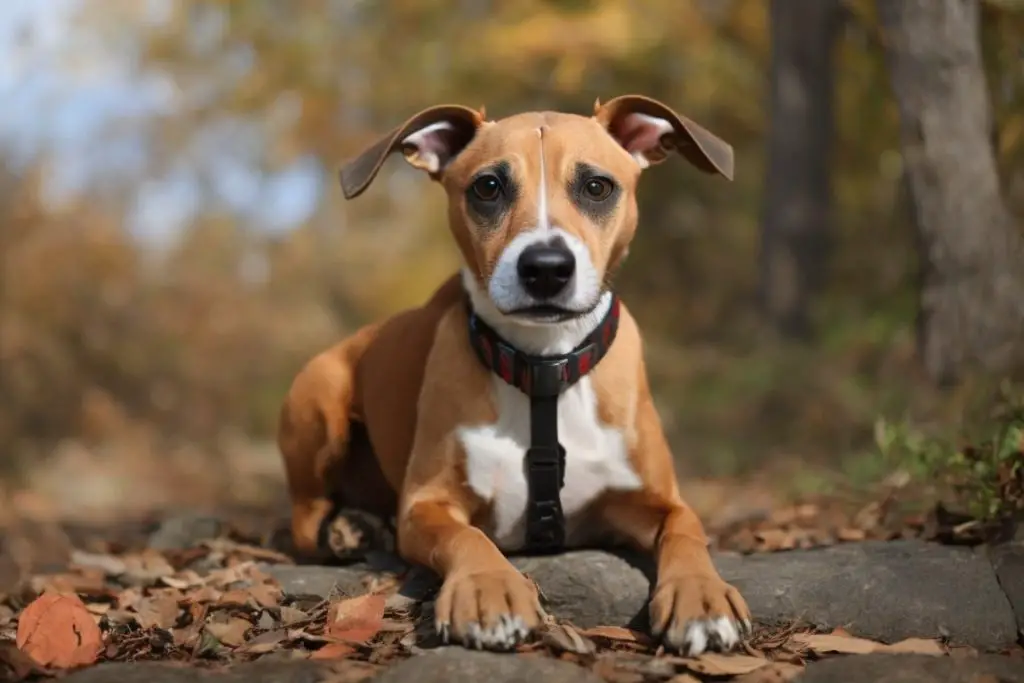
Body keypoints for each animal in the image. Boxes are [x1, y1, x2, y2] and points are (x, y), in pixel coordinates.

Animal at [280, 94, 753, 655]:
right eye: (488, 187)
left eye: (597, 186)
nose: (546, 267)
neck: (544, 368)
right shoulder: (425, 506)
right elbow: (469, 536)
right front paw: (490, 588)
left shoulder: (653, 500)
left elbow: (687, 528)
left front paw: (701, 594)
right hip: (319, 399)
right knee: (305, 516)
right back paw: (345, 531)